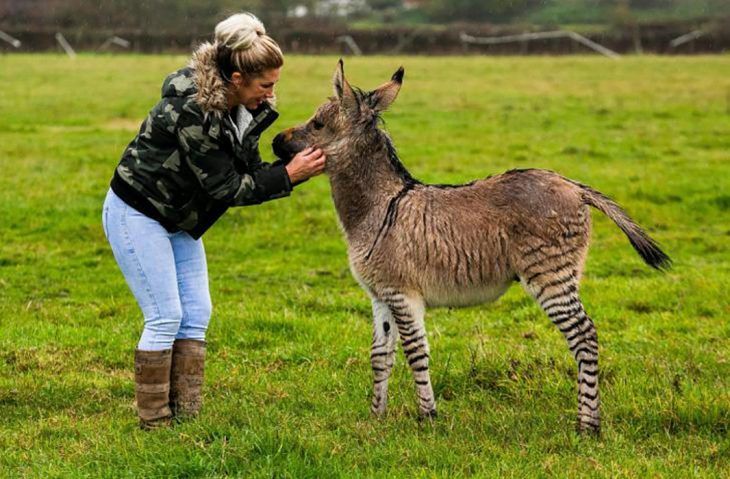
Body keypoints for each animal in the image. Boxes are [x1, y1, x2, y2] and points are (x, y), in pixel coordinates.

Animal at [272, 61, 671, 434]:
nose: (275, 141)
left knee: (584, 335)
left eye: (318, 124)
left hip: (549, 275)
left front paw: (427, 418)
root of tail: (573, 185)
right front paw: (376, 417)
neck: (380, 206)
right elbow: (380, 355)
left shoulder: (403, 294)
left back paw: (588, 426)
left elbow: (415, 352)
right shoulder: (381, 296)